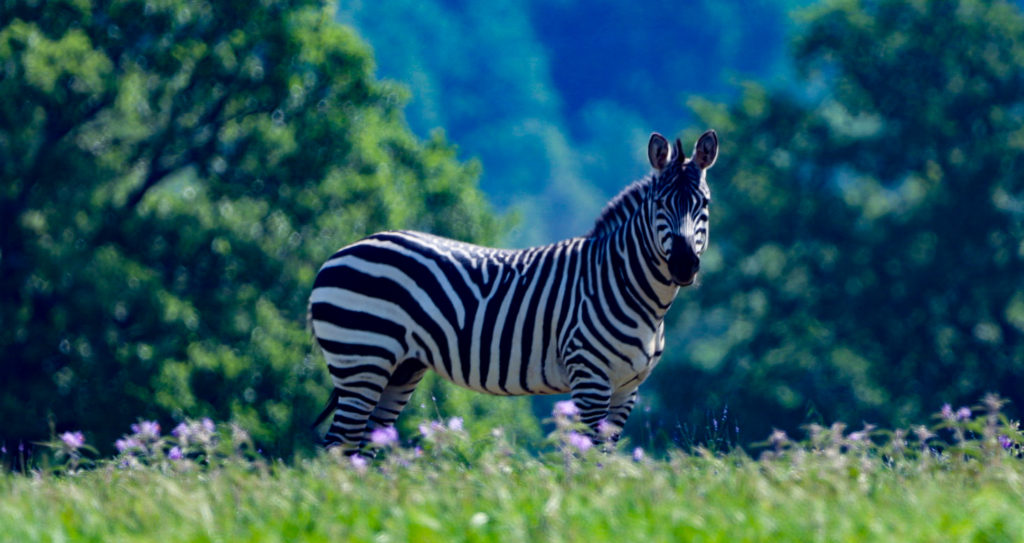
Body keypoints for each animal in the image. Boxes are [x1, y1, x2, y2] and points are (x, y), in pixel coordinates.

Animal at [310, 129, 718, 453]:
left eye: (705, 204)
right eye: (659, 204)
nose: (684, 265)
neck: (626, 286)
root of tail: (341, 252)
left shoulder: (626, 389)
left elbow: (604, 459)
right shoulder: (590, 379)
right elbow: (585, 458)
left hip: (399, 369)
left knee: (366, 445)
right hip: (363, 361)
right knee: (338, 446)